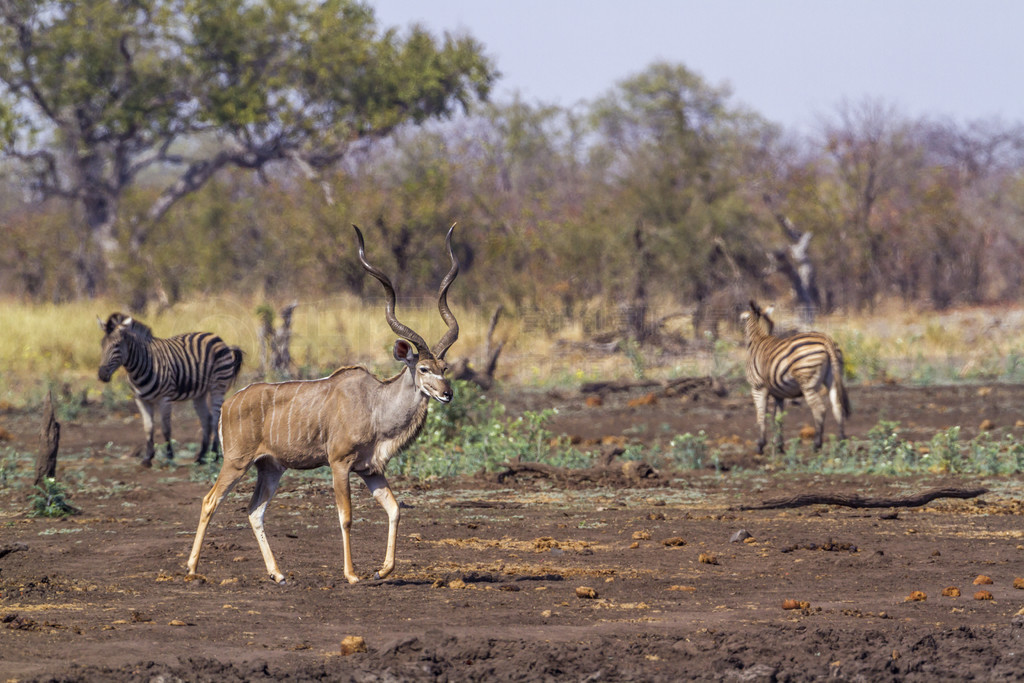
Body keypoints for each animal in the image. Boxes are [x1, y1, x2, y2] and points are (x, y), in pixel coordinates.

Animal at [99, 313, 243, 464]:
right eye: (101, 344)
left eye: (116, 345)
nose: (101, 374)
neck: (141, 365)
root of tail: (218, 338)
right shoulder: (141, 400)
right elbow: (148, 427)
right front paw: (147, 457)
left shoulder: (165, 398)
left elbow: (165, 428)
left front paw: (169, 456)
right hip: (200, 393)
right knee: (206, 420)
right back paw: (201, 456)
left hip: (218, 386)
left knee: (215, 418)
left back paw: (215, 455)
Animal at [189, 224, 460, 581]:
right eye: (424, 368)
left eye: (445, 368)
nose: (446, 393)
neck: (375, 404)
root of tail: (230, 404)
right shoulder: (339, 463)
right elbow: (345, 516)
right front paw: (352, 574)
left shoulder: (371, 470)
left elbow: (394, 509)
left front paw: (383, 570)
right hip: (236, 462)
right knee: (210, 501)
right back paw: (192, 569)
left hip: (270, 468)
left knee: (254, 510)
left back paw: (278, 574)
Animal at [741, 301, 851, 454]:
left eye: (743, 320)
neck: (760, 338)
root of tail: (826, 340)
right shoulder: (778, 394)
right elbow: (778, 418)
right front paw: (779, 446)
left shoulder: (757, 387)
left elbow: (761, 415)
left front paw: (760, 445)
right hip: (833, 379)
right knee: (837, 407)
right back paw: (841, 442)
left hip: (808, 383)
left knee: (819, 409)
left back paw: (816, 444)